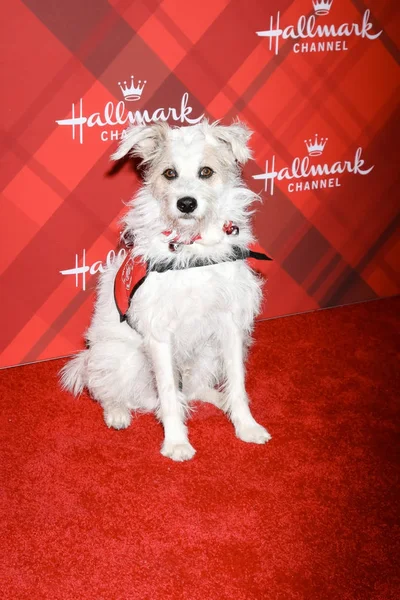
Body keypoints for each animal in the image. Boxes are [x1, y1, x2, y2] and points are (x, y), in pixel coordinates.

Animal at [60, 119, 272, 462]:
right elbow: (170, 396)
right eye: (169, 173)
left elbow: (238, 385)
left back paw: (220, 400)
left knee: (195, 389)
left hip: (206, 353)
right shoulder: (159, 333)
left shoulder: (229, 325)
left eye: (206, 172)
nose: (186, 203)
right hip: (125, 357)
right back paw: (117, 412)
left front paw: (246, 426)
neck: (193, 249)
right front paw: (176, 442)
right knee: (113, 390)